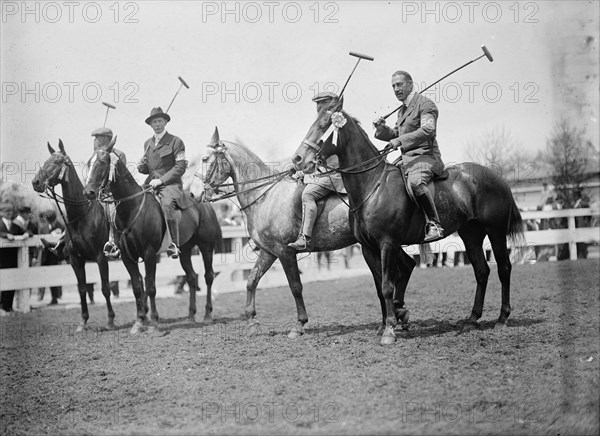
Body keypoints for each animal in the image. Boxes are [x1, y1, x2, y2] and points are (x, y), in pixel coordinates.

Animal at [31, 140, 115, 330]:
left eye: (57, 161)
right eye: (46, 160)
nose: (36, 182)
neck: (82, 216)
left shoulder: (101, 257)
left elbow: (105, 288)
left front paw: (110, 320)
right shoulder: (76, 259)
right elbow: (82, 289)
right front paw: (83, 322)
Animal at [82, 140, 223, 334]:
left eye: (102, 163)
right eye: (88, 163)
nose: (88, 192)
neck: (132, 208)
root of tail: (203, 201)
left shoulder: (149, 254)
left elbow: (150, 287)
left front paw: (154, 322)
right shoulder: (127, 257)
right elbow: (136, 288)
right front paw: (139, 322)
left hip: (206, 247)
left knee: (208, 276)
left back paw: (208, 314)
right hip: (185, 250)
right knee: (192, 277)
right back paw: (191, 315)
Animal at [195, 132, 358, 338]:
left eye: (205, 159)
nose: (199, 194)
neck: (264, 196)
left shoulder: (284, 252)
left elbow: (296, 287)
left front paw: (299, 325)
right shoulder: (268, 252)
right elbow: (251, 281)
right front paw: (252, 322)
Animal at [292, 100, 524, 346]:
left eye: (323, 124)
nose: (298, 159)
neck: (373, 185)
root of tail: (497, 176)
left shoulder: (387, 244)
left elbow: (387, 286)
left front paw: (389, 329)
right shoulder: (368, 248)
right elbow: (379, 288)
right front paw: (388, 321)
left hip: (496, 231)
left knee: (504, 268)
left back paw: (502, 317)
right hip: (471, 234)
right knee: (481, 271)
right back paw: (472, 318)